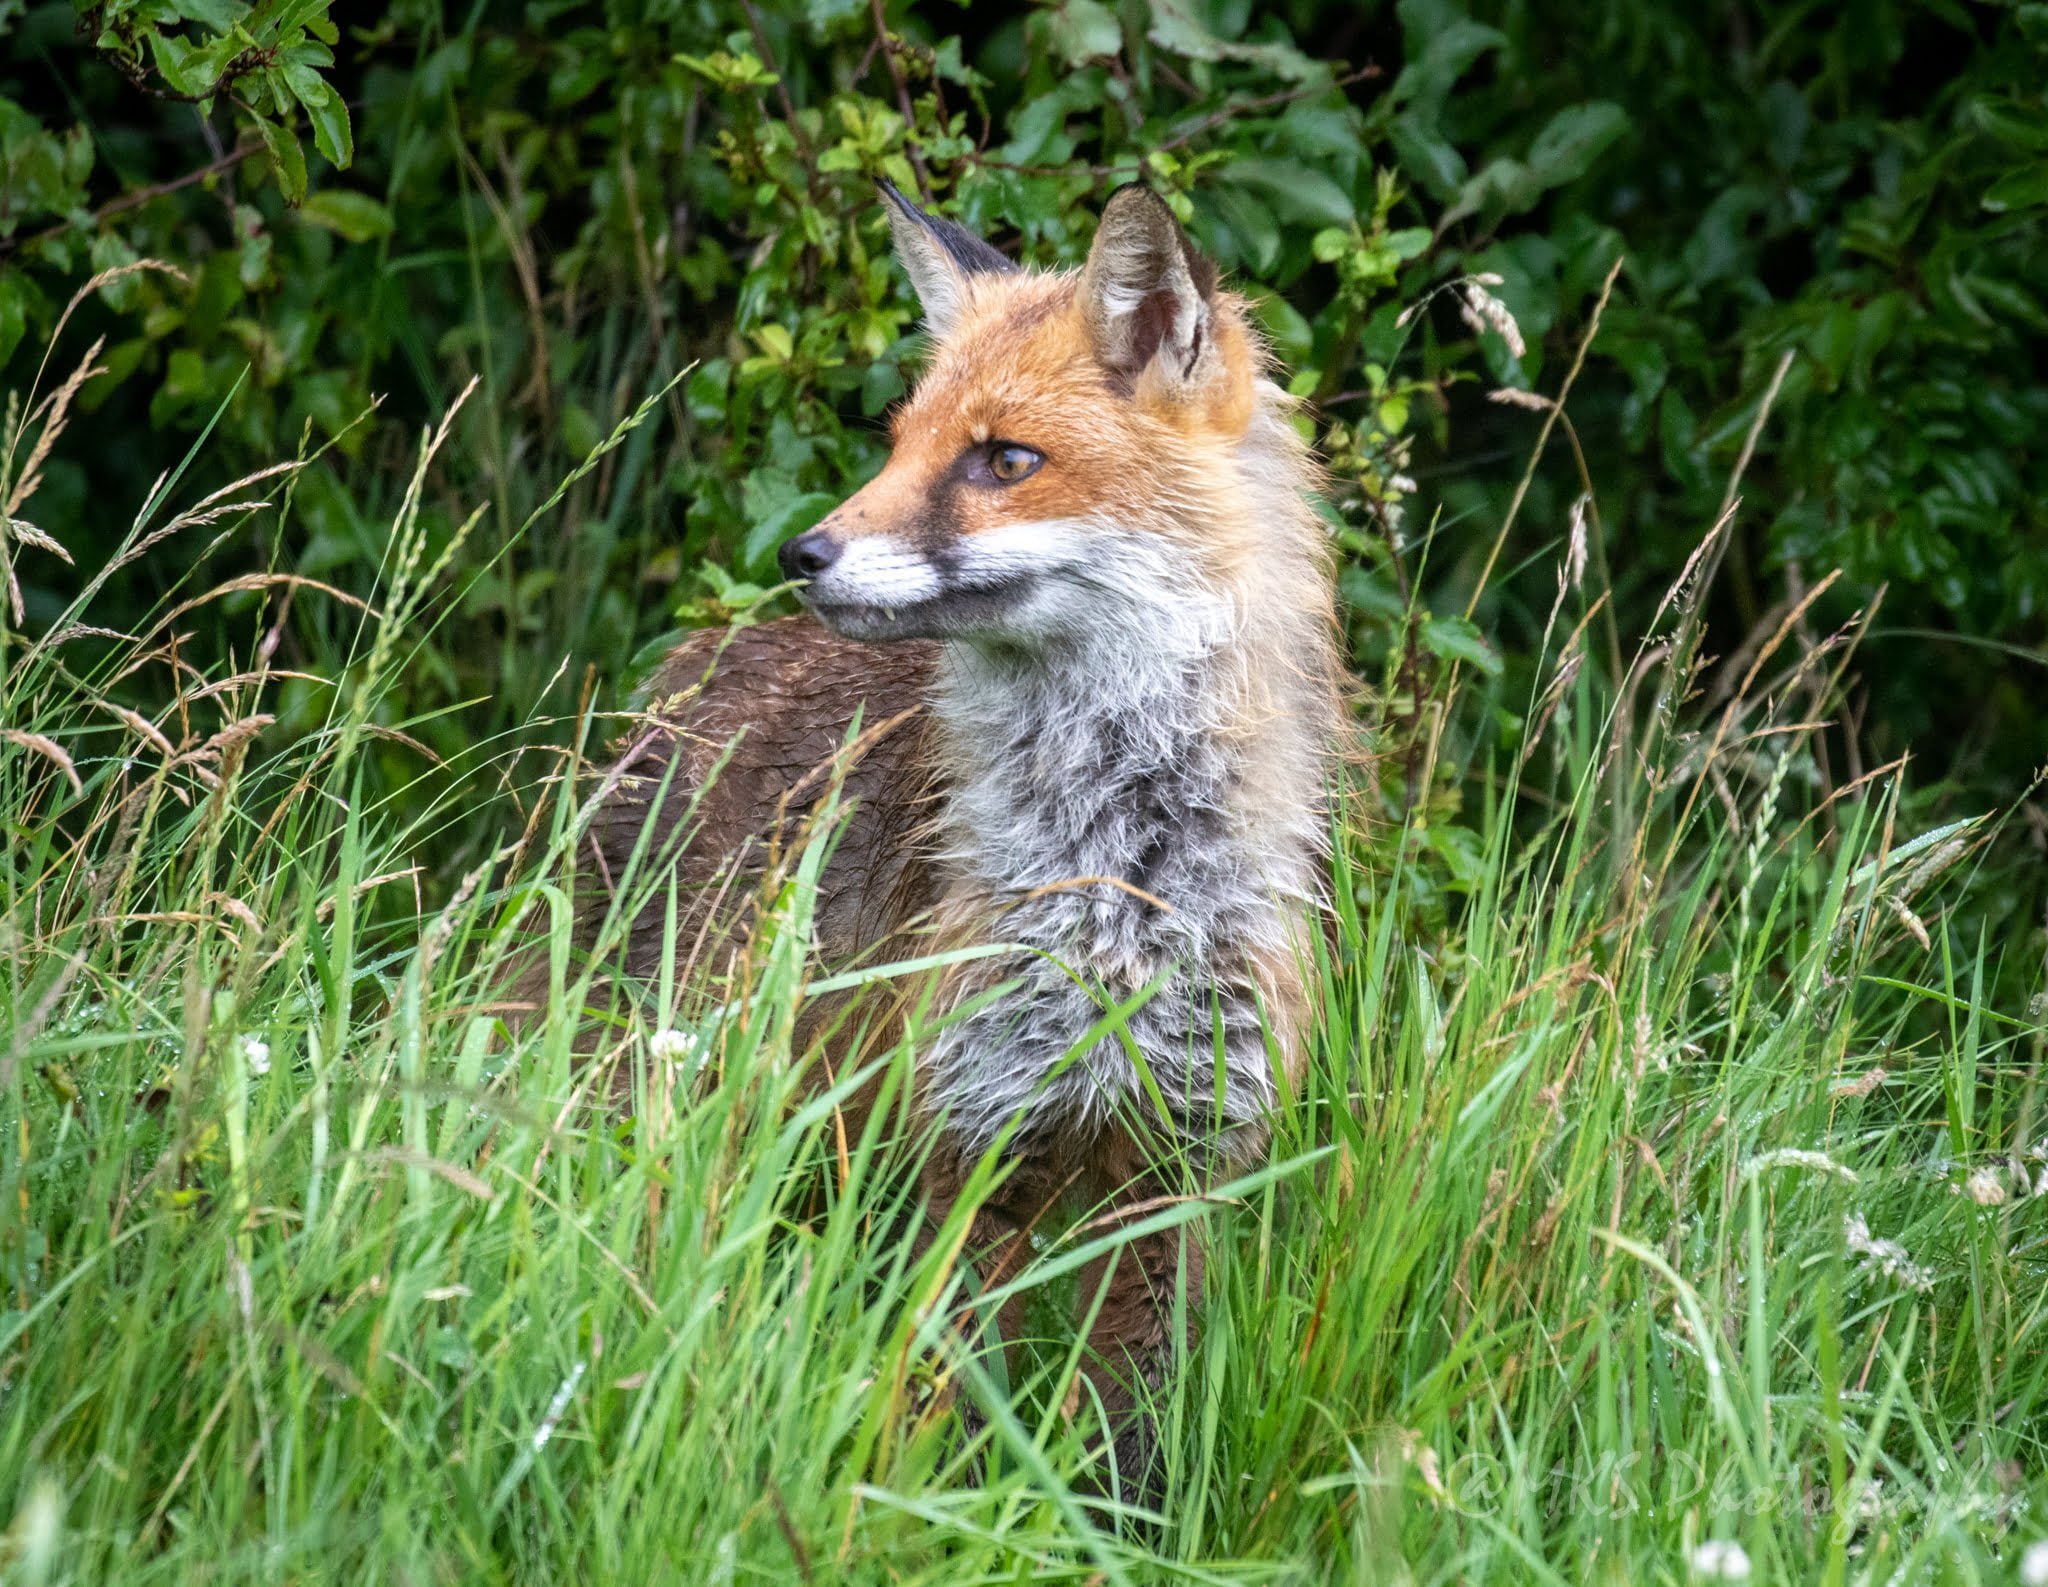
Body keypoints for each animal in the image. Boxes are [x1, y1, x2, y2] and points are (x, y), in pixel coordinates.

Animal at [580, 180, 1344, 1490]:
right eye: (897, 445)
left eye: (1004, 460)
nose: (801, 555)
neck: (1115, 892)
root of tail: (694, 662)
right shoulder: (967, 1147)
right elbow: (947, 1407)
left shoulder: (1172, 1172)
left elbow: (1132, 1441)